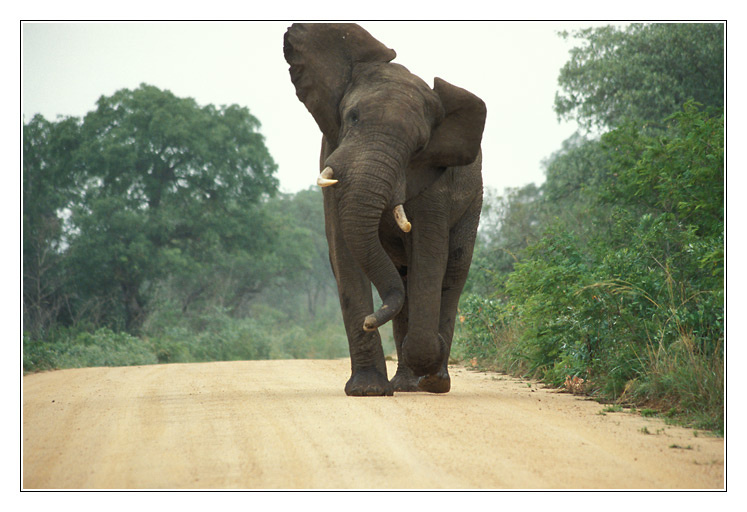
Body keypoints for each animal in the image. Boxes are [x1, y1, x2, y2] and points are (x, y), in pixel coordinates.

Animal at [283, 23, 487, 396]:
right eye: (353, 117)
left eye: (420, 146)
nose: (369, 321)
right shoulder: (331, 150)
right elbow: (343, 253)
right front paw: (367, 390)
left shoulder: (435, 180)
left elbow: (429, 257)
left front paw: (426, 358)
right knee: (403, 277)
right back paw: (407, 384)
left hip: (473, 204)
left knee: (452, 271)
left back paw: (434, 381)